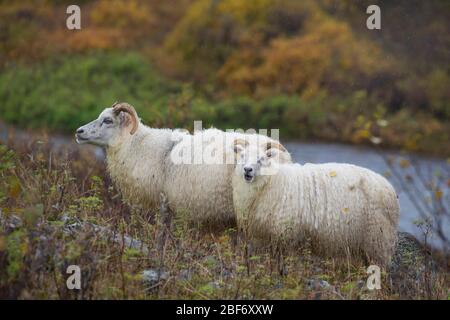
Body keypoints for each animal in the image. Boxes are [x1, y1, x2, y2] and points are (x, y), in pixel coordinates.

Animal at [234, 142, 400, 264]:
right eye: (242, 155)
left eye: (261, 159)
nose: (247, 170)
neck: (272, 180)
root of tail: (389, 188)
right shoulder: (262, 237)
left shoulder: (287, 235)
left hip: (378, 242)